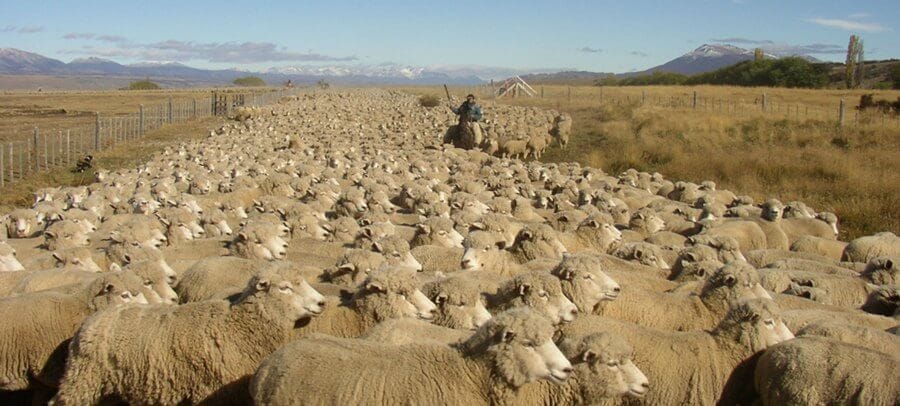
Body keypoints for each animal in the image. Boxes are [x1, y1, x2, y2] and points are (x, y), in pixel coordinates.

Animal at [52, 265, 326, 405]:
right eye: (285, 287)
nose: (322, 302)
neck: (236, 326)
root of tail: (96, 318)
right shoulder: (213, 391)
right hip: (84, 379)